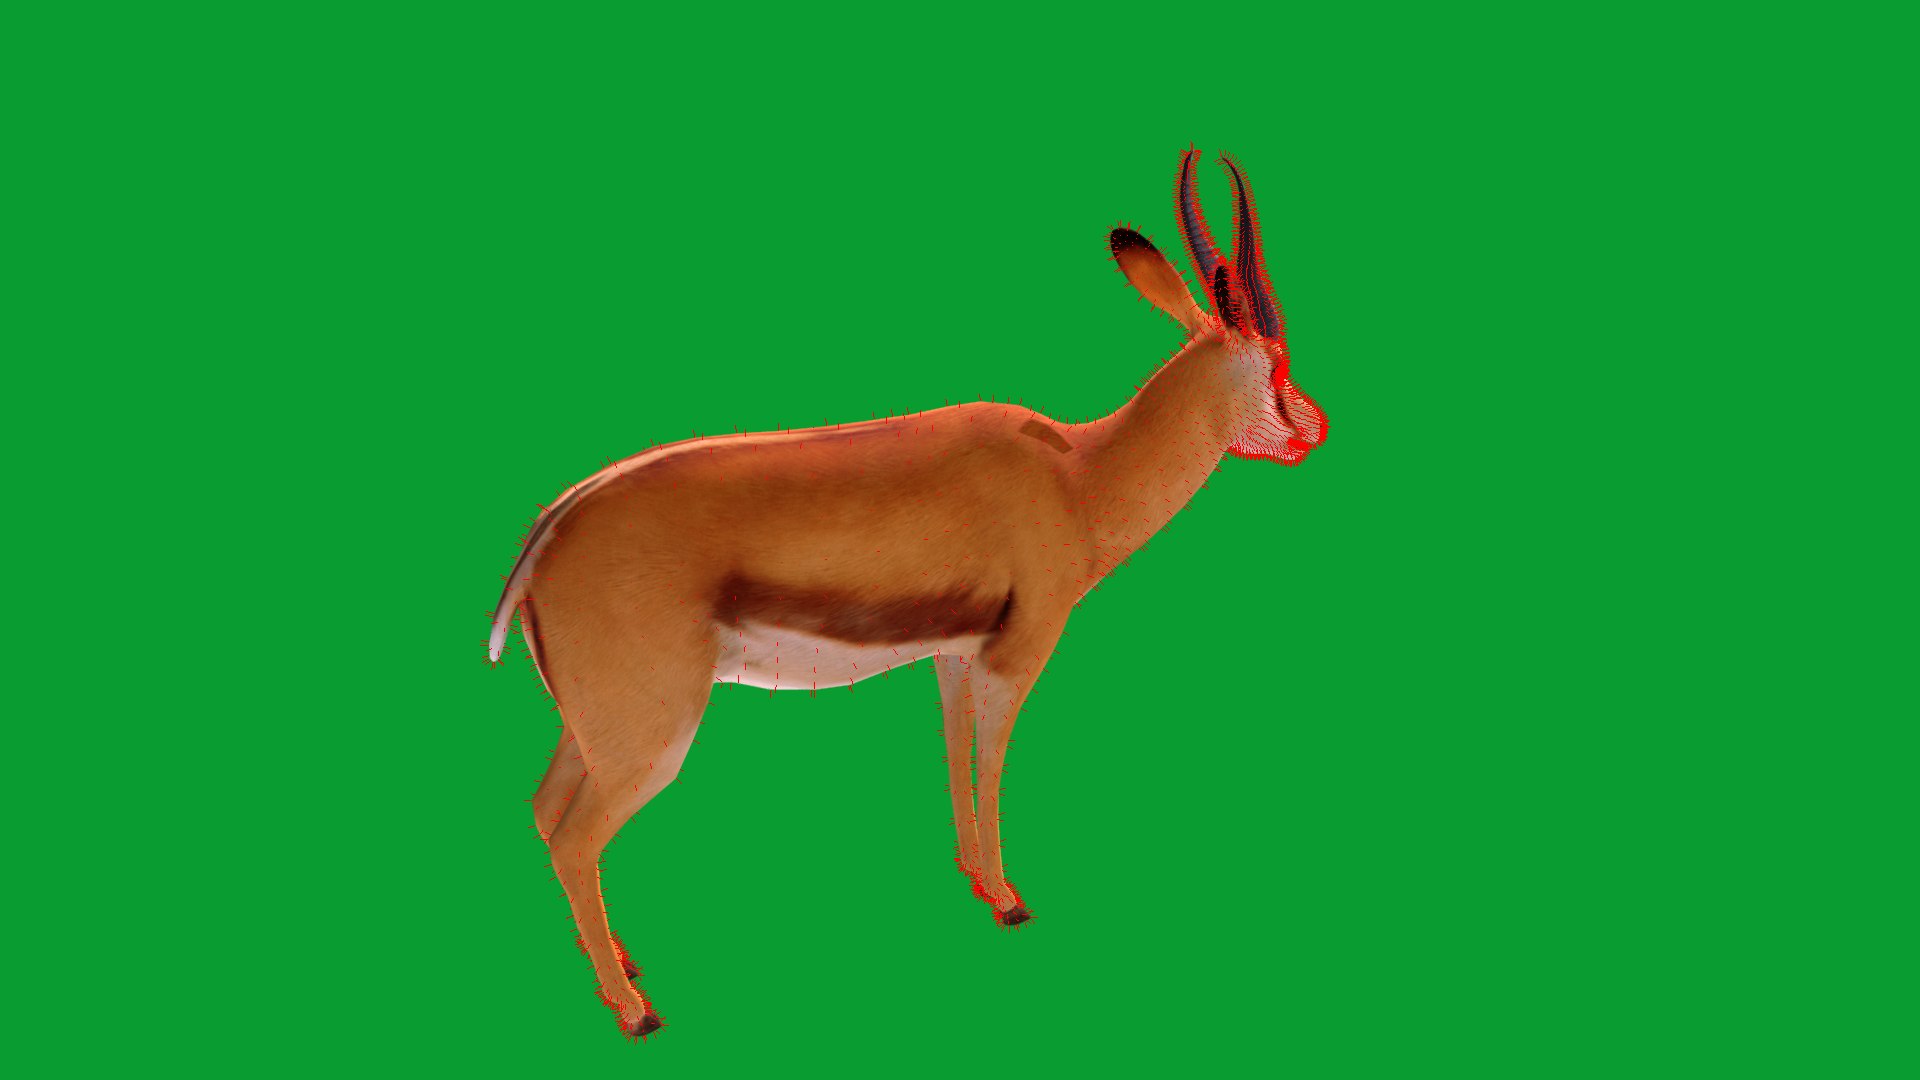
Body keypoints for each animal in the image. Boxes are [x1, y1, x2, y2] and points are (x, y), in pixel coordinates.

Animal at [488, 148, 1329, 1038]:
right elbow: (992, 759)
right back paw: (635, 1009)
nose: (1314, 429)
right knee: (576, 838)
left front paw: (977, 881)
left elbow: (955, 749)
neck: (1074, 475)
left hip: (593, 729)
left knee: (544, 811)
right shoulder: (1017, 653)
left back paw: (619, 966)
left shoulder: (952, 656)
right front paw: (1009, 900)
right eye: (1276, 362)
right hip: (653, 733)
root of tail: (550, 530)